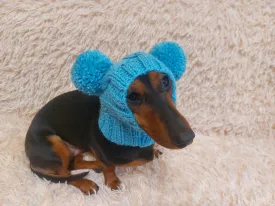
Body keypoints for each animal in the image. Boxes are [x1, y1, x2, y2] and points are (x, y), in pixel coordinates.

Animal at [24, 42, 195, 195]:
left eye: (166, 81)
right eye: (133, 96)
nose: (188, 138)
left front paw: (154, 151)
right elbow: (109, 167)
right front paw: (113, 182)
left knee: (73, 163)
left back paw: (95, 165)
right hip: (55, 143)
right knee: (65, 175)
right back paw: (86, 183)